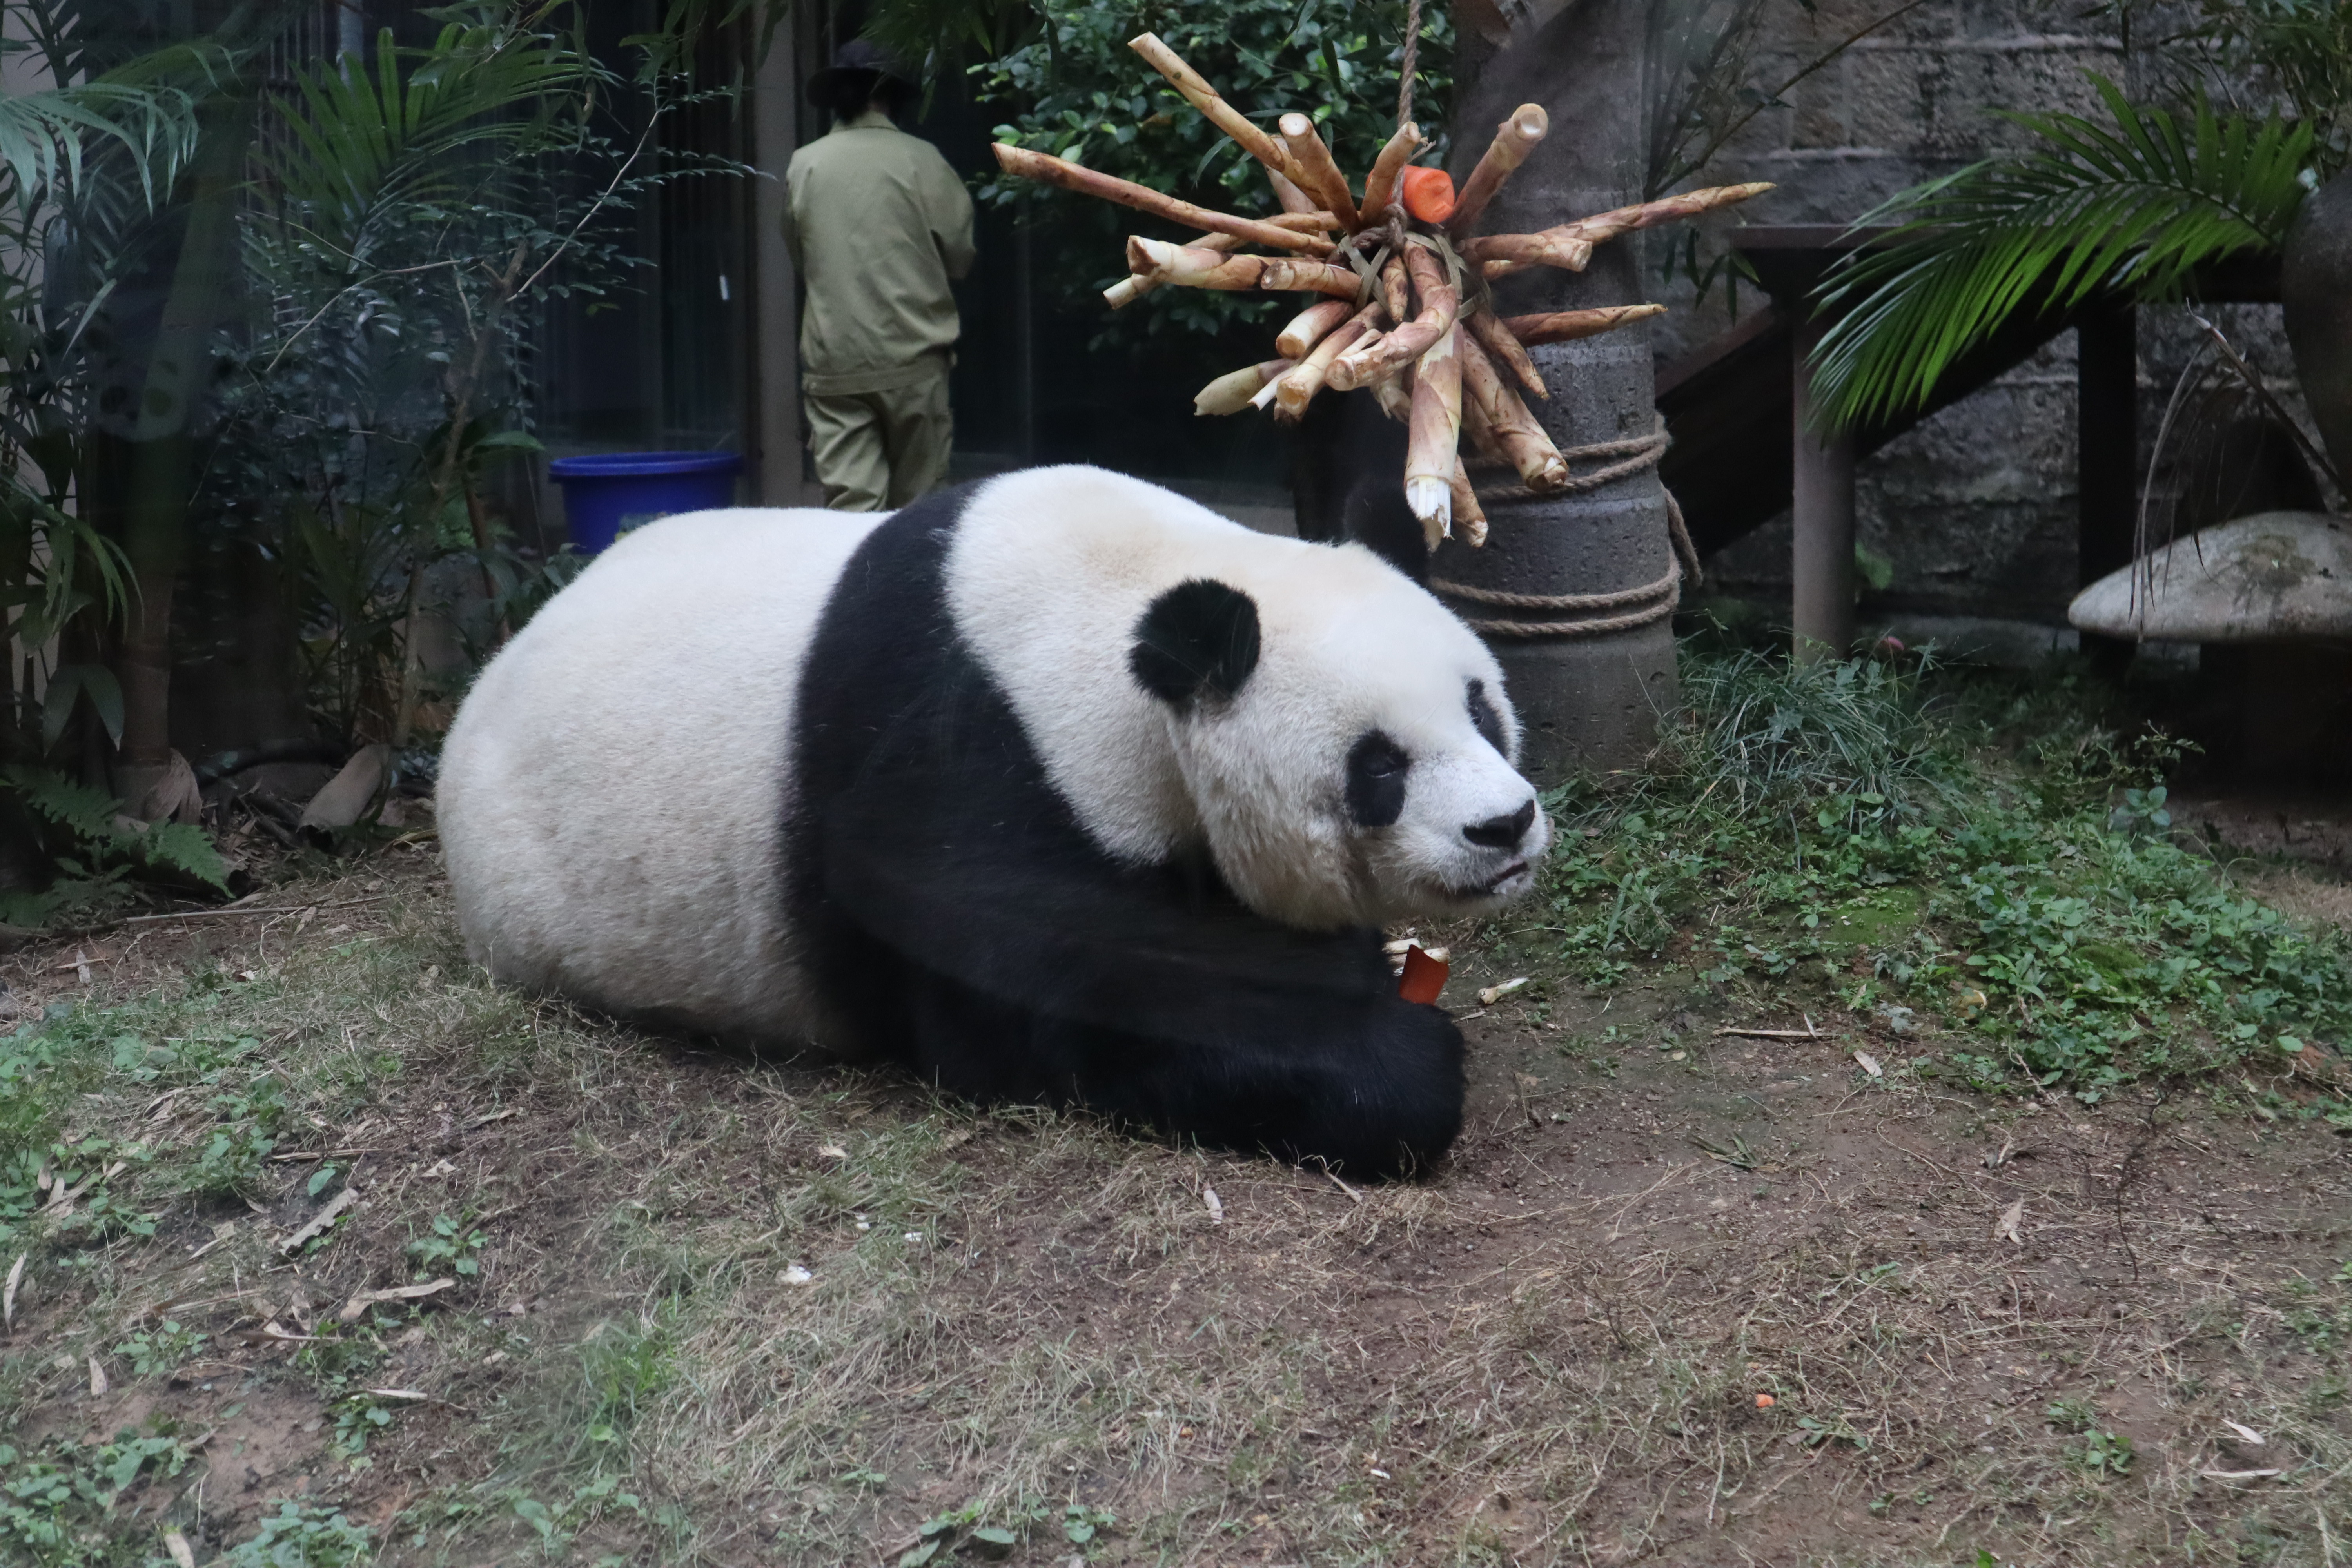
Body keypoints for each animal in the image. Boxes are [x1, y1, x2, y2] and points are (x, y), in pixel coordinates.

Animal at [437, 465, 1543, 1175]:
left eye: (1481, 705)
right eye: (1378, 766)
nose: (1504, 827)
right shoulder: (971, 756)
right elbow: (1045, 992)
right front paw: (1401, 1060)